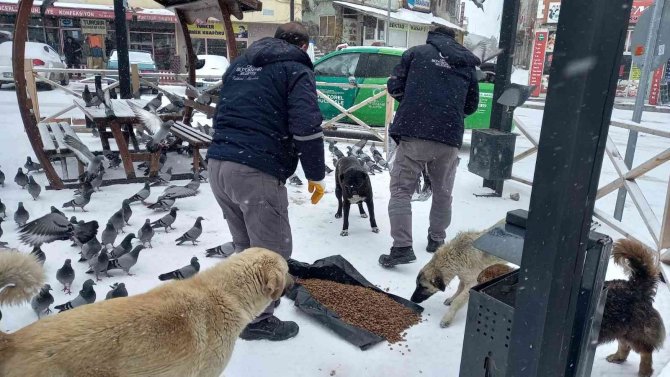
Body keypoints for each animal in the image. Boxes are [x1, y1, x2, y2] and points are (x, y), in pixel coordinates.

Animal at [600, 238, 668, 376]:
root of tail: (635, 286)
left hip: (636, 332)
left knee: (645, 351)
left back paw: (644, 371)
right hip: (621, 327)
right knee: (624, 346)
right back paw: (617, 357)